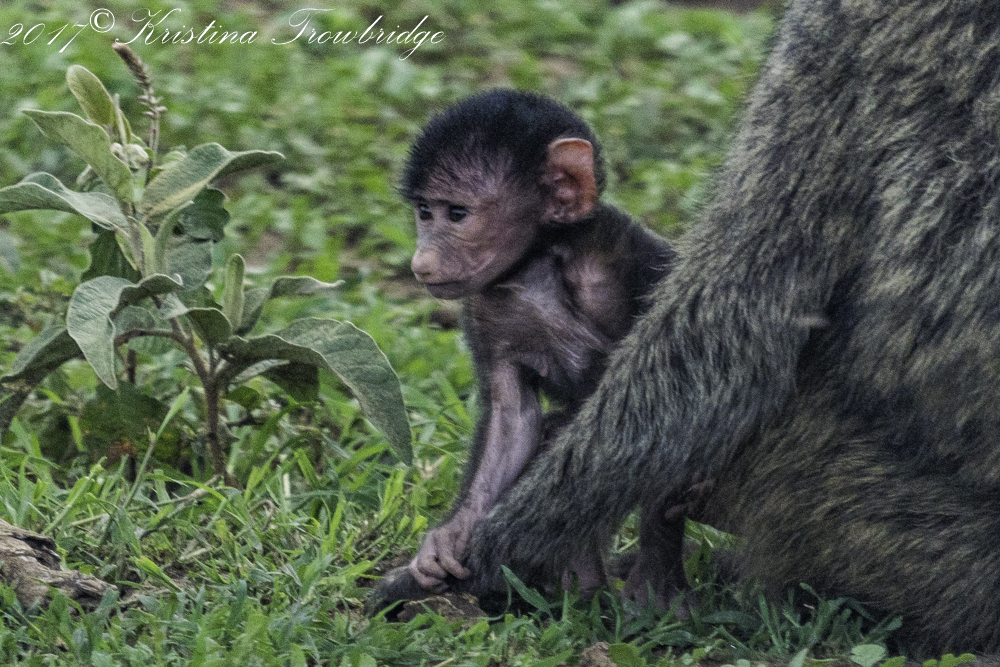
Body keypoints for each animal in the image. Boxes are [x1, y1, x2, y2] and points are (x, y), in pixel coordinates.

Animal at [369, 89, 687, 612]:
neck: (535, 263)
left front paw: (656, 578)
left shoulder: (624, 255)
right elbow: (511, 418)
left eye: (457, 214)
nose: (422, 262)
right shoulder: (483, 307)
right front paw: (448, 538)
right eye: (424, 211)